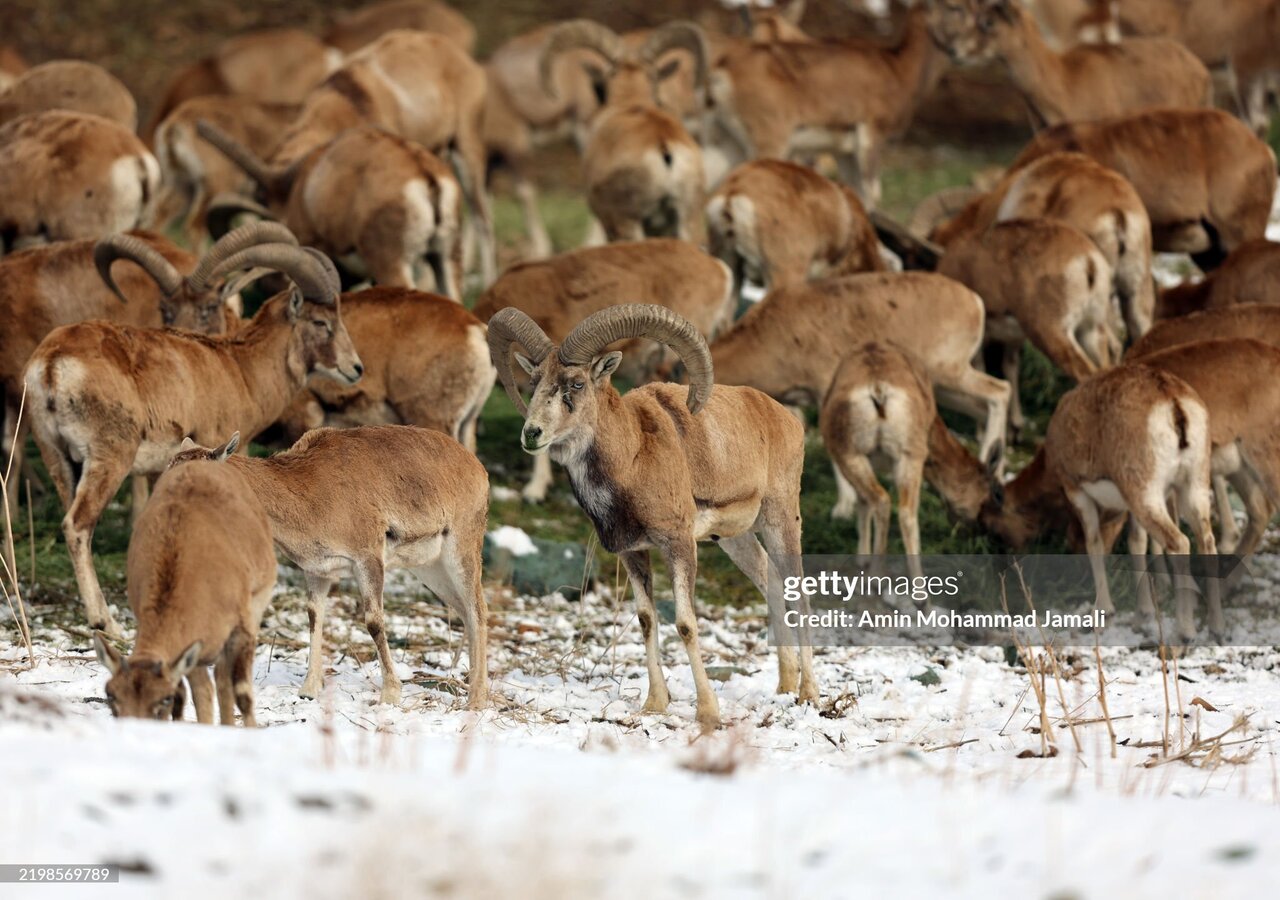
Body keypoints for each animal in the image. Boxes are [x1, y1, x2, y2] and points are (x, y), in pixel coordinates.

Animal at [92, 453, 277, 727]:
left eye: (163, 699)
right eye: (110, 694)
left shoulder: (241, 626)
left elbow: (241, 692)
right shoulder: (191, 645)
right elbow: (198, 695)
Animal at [483, 305, 814, 727]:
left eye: (576, 384)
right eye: (535, 380)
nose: (532, 434)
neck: (634, 458)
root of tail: (785, 419)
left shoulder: (679, 546)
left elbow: (686, 625)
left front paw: (708, 713)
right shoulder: (632, 553)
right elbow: (646, 621)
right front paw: (655, 704)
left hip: (780, 521)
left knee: (799, 594)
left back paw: (809, 694)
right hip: (736, 540)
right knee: (770, 583)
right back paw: (785, 686)